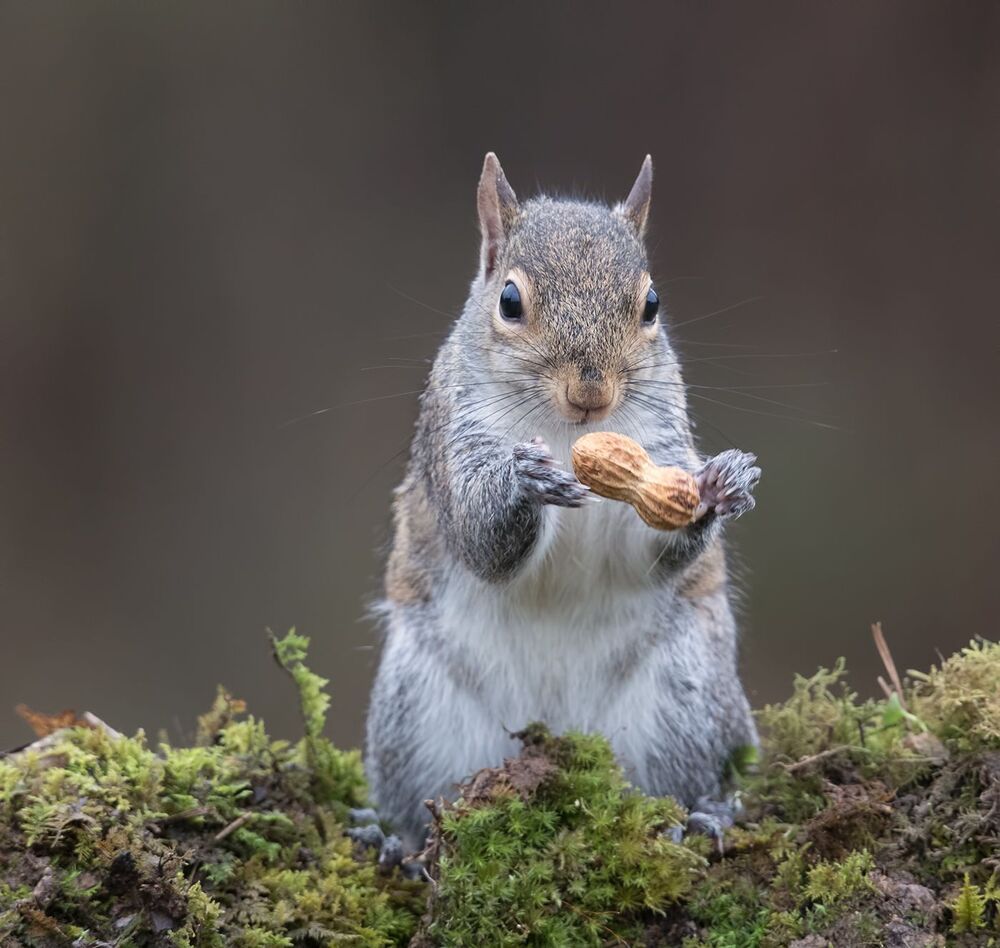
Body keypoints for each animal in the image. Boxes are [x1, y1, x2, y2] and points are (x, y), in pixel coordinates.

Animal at [364, 153, 761, 850]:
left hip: (687, 694)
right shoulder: (453, 439)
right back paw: (398, 845)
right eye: (509, 301)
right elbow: (479, 539)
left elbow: (646, 547)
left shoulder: (658, 449)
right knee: (412, 802)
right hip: (414, 714)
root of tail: (555, 733)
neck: (565, 433)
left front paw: (716, 487)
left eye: (651, 303)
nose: (591, 394)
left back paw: (708, 812)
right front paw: (524, 482)